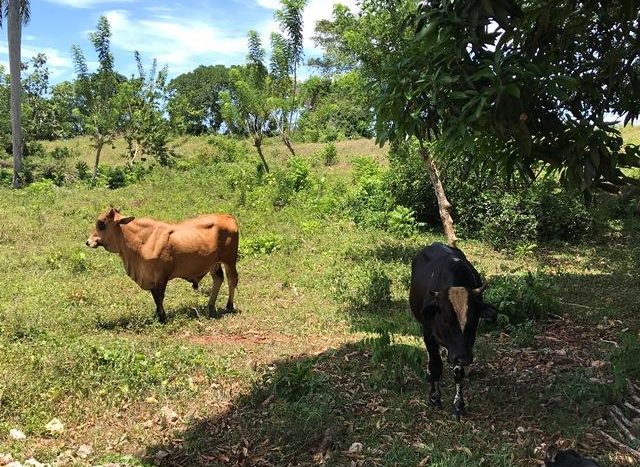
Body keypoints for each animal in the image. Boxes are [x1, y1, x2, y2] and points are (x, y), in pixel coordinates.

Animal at [87, 207, 240, 322]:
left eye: (101, 224)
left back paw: (229, 305)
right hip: (214, 262)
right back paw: (210, 305)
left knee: (232, 279)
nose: (88, 242)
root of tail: (227, 216)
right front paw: (157, 315)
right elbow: (155, 297)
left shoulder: (161, 277)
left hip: (230, 260)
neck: (142, 240)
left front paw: (162, 317)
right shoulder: (150, 277)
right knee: (218, 278)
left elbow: (159, 297)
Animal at [408, 243, 498, 418]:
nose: (464, 358)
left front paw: (458, 405)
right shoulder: (429, 335)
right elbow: (436, 366)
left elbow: (458, 373)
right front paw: (434, 398)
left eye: (473, 320)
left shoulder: (465, 345)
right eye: (445, 320)